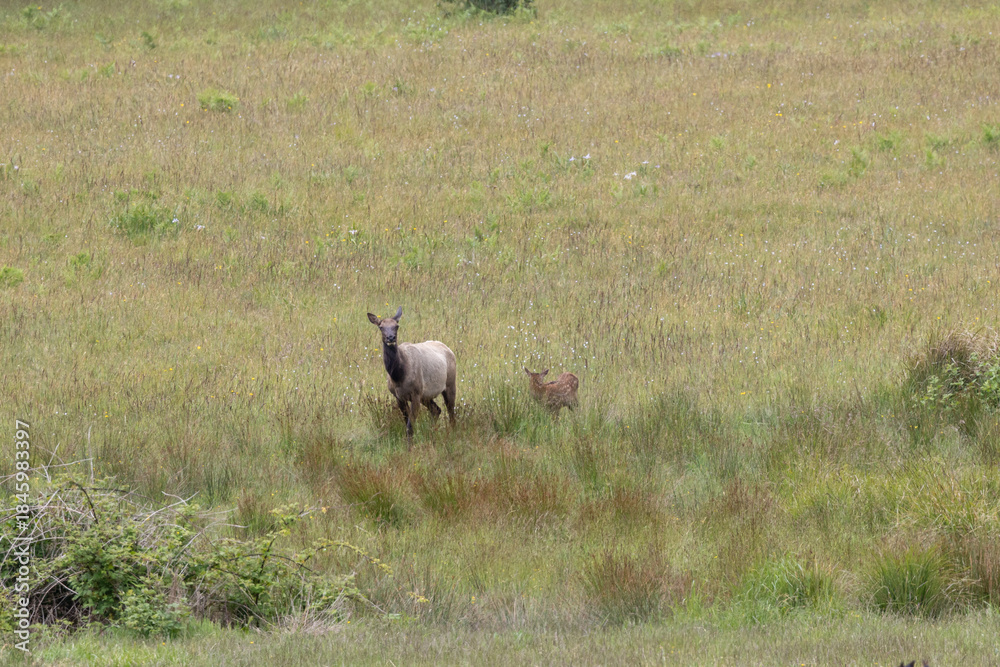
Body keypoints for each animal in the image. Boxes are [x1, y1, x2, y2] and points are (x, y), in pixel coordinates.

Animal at [367, 307, 456, 443]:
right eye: (381, 327)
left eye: (396, 326)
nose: (391, 338)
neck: (398, 376)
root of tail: (449, 349)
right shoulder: (398, 397)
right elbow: (406, 422)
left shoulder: (415, 393)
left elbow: (410, 426)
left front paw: (410, 446)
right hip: (426, 395)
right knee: (436, 410)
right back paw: (432, 432)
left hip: (449, 384)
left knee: (451, 412)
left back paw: (452, 433)